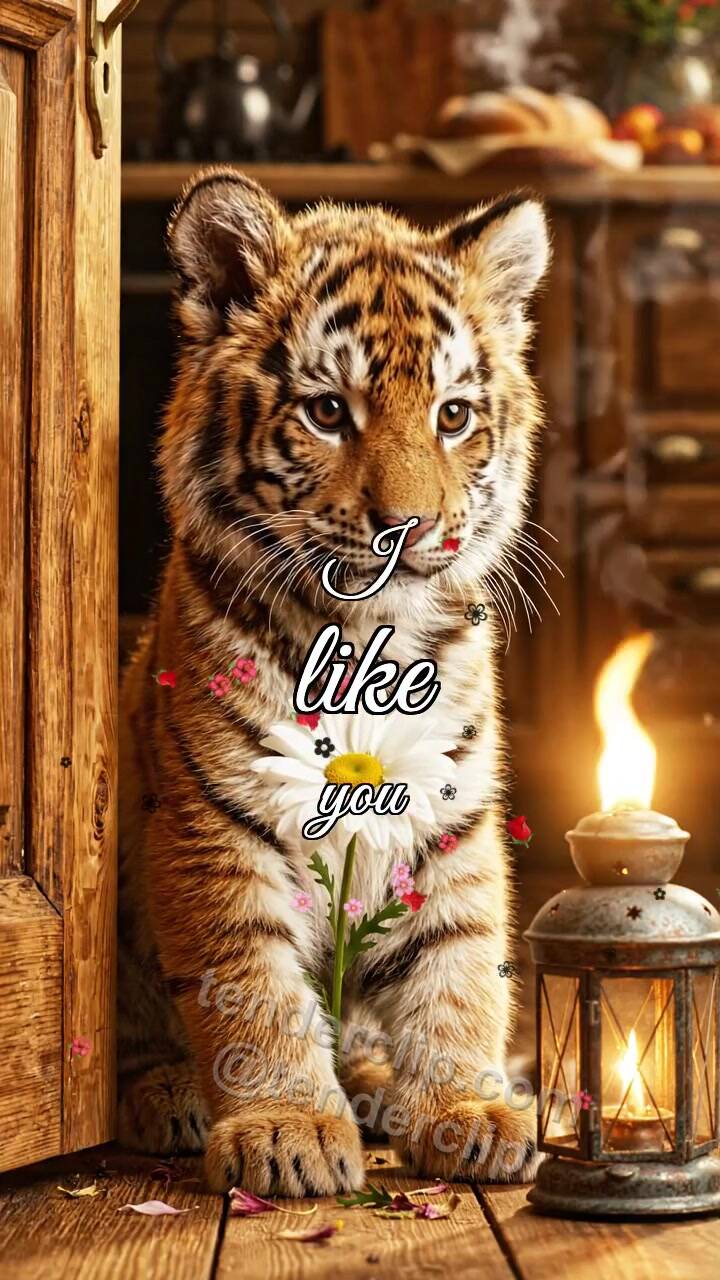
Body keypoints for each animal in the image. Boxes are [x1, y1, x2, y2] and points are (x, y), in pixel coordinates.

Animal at [118, 166, 551, 1196]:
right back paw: (172, 1097)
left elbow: (459, 968)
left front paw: (466, 1108)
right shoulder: (213, 824)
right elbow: (251, 985)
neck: (366, 641)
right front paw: (285, 1127)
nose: (414, 528)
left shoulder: (452, 813)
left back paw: (376, 1084)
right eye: (327, 412)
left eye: (451, 415)